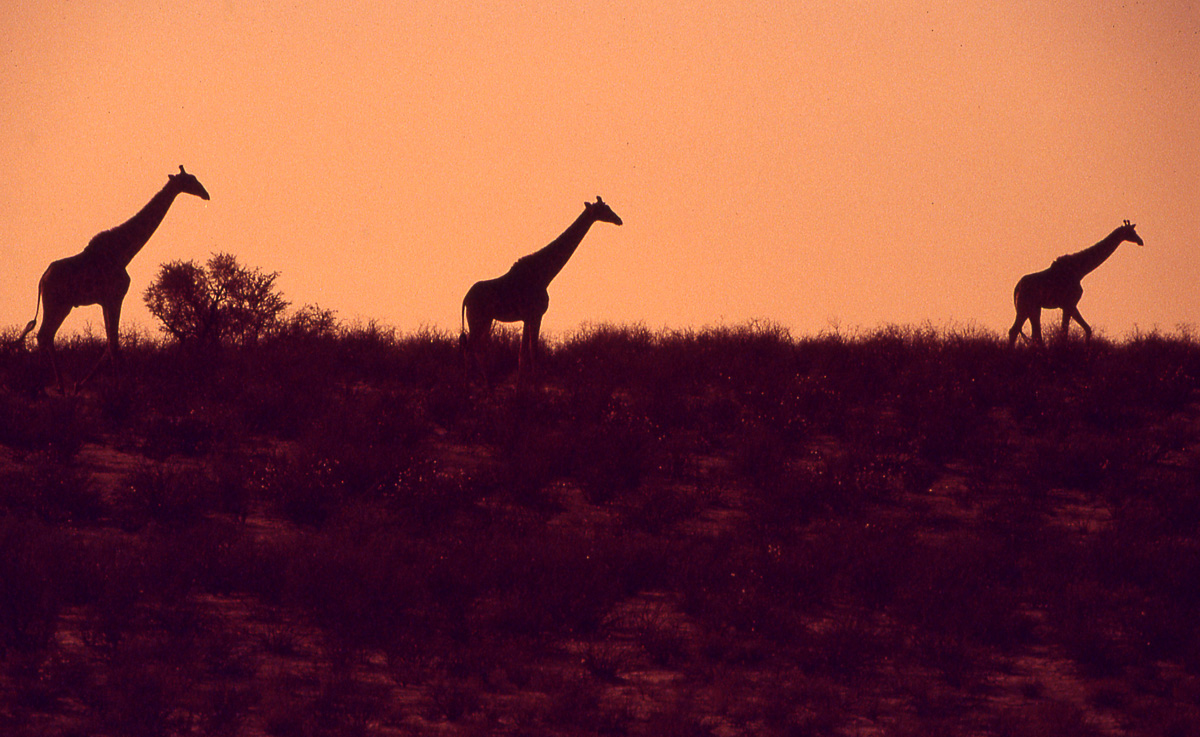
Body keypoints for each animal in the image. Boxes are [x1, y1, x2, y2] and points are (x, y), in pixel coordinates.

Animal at [17, 166, 211, 392]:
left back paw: (57, 385)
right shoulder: (115, 297)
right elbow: (114, 344)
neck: (124, 252)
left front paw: (81, 384)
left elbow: (110, 343)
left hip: (61, 305)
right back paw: (46, 385)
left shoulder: (105, 301)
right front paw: (118, 388)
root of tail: (42, 279)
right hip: (57, 304)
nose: (206, 194)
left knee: (46, 336)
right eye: (190, 180)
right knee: (43, 335)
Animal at [460, 196, 623, 381]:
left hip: (486, 320)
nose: (619, 220)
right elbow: (532, 354)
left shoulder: (528, 317)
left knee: (477, 349)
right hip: (478, 319)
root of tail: (465, 298)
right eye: (605, 209)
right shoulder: (535, 314)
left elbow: (525, 355)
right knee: (470, 348)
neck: (544, 275)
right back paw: (469, 385)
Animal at [1008, 220, 1143, 348]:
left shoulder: (1069, 305)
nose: (1140, 241)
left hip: (1033, 308)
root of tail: (1016, 288)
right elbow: (1067, 332)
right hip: (1025, 307)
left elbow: (1084, 329)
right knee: (1016, 331)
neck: (1080, 270)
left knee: (1032, 333)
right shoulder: (1069, 303)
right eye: (1132, 232)